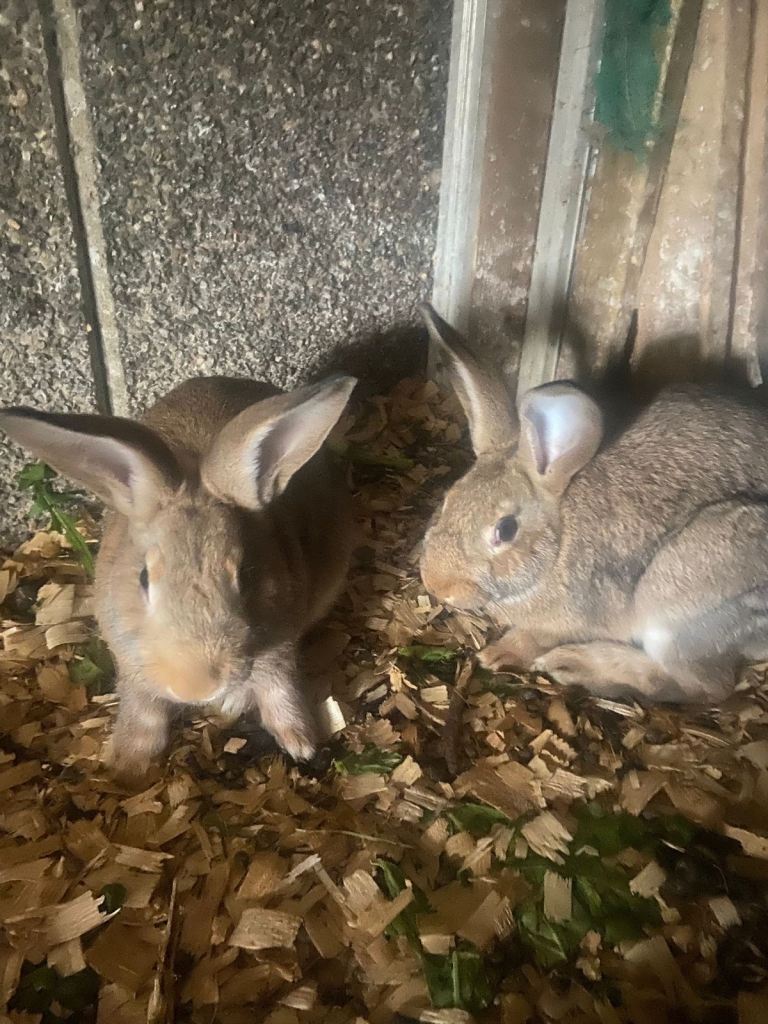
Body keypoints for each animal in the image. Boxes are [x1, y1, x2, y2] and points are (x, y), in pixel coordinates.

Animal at [0, 374, 356, 780]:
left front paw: (301, 743)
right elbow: (143, 709)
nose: (197, 687)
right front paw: (127, 763)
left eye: (247, 574)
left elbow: (279, 692)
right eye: (143, 577)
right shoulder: (132, 661)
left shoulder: (279, 650)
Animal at [418, 303, 768, 704]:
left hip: (682, 596)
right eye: (449, 499)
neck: (557, 545)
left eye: (505, 530)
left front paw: (498, 654)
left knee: (703, 686)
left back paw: (575, 664)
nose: (436, 585)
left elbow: (532, 638)